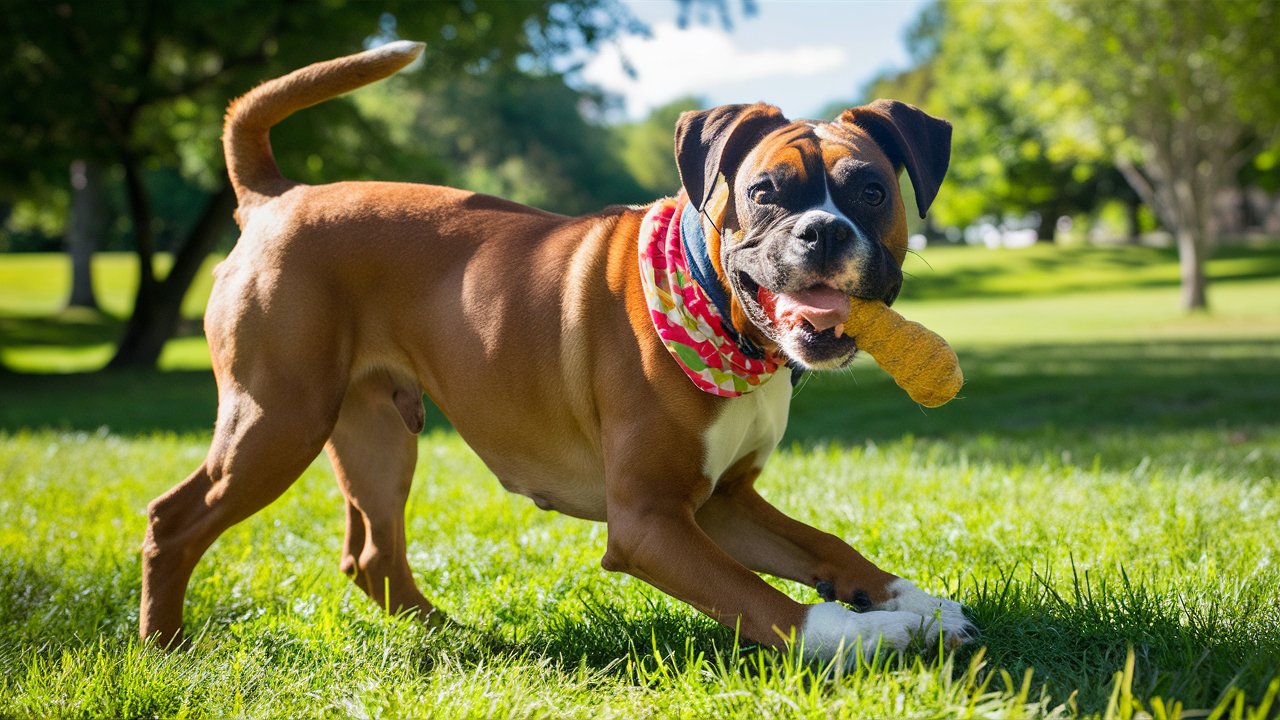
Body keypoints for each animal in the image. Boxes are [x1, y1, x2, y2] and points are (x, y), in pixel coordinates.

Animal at [140, 41, 972, 661]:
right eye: (766, 192)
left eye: (870, 191)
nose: (822, 232)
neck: (724, 315)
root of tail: (277, 197)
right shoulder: (649, 524)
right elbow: (772, 608)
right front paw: (874, 634)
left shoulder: (723, 503)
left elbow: (829, 547)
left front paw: (915, 601)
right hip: (277, 422)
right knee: (172, 521)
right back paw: (164, 649)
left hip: (375, 434)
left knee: (372, 558)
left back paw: (459, 640)